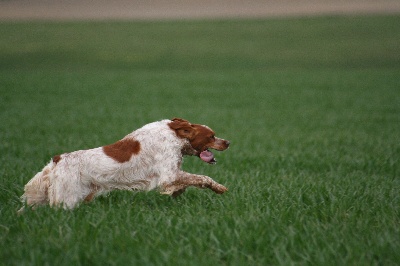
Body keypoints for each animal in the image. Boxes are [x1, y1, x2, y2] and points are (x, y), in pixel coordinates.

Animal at [18, 117, 230, 211]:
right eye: (211, 136)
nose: (227, 142)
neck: (175, 135)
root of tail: (57, 159)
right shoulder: (169, 174)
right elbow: (203, 178)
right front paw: (220, 188)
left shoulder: (172, 174)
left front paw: (177, 193)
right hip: (67, 199)